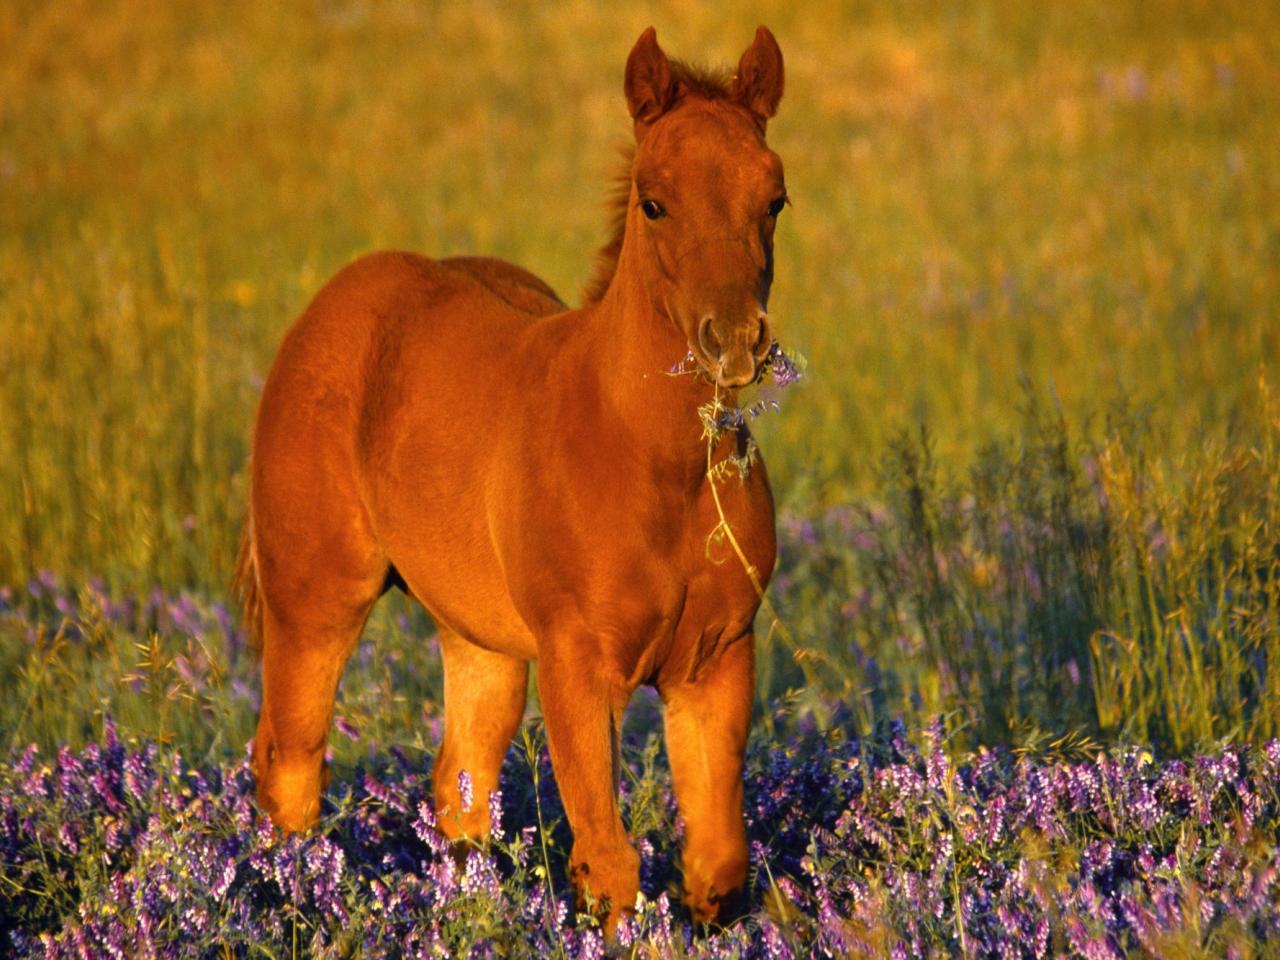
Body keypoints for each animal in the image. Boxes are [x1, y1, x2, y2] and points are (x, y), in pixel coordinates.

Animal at [235, 24, 783, 931]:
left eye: (774, 197)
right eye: (653, 201)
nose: (734, 341)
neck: (656, 466)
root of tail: (331, 303)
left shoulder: (715, 660)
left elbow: (715, 866)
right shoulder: (578, 666)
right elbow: (609, 866)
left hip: (479, 638)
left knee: (459, 791)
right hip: (315, 597)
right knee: (290, 768)